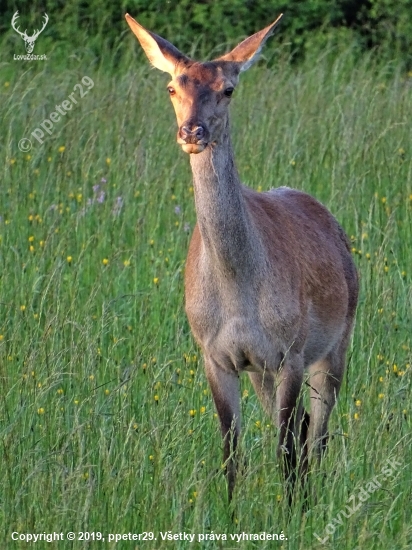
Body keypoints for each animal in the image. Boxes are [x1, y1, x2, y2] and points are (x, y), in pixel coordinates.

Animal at [124, 12, 358, 504]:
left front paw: (292, 512)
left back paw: (315, 495)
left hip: (337, 341)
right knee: (305, 428)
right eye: (172, 86)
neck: (238, 293)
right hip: (262, 372)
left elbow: (284, 451)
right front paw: (231, 511)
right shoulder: (216, 355)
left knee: (318, 431)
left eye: (228, 88)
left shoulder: (290, 350)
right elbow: (231, 453)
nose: (192, 132)